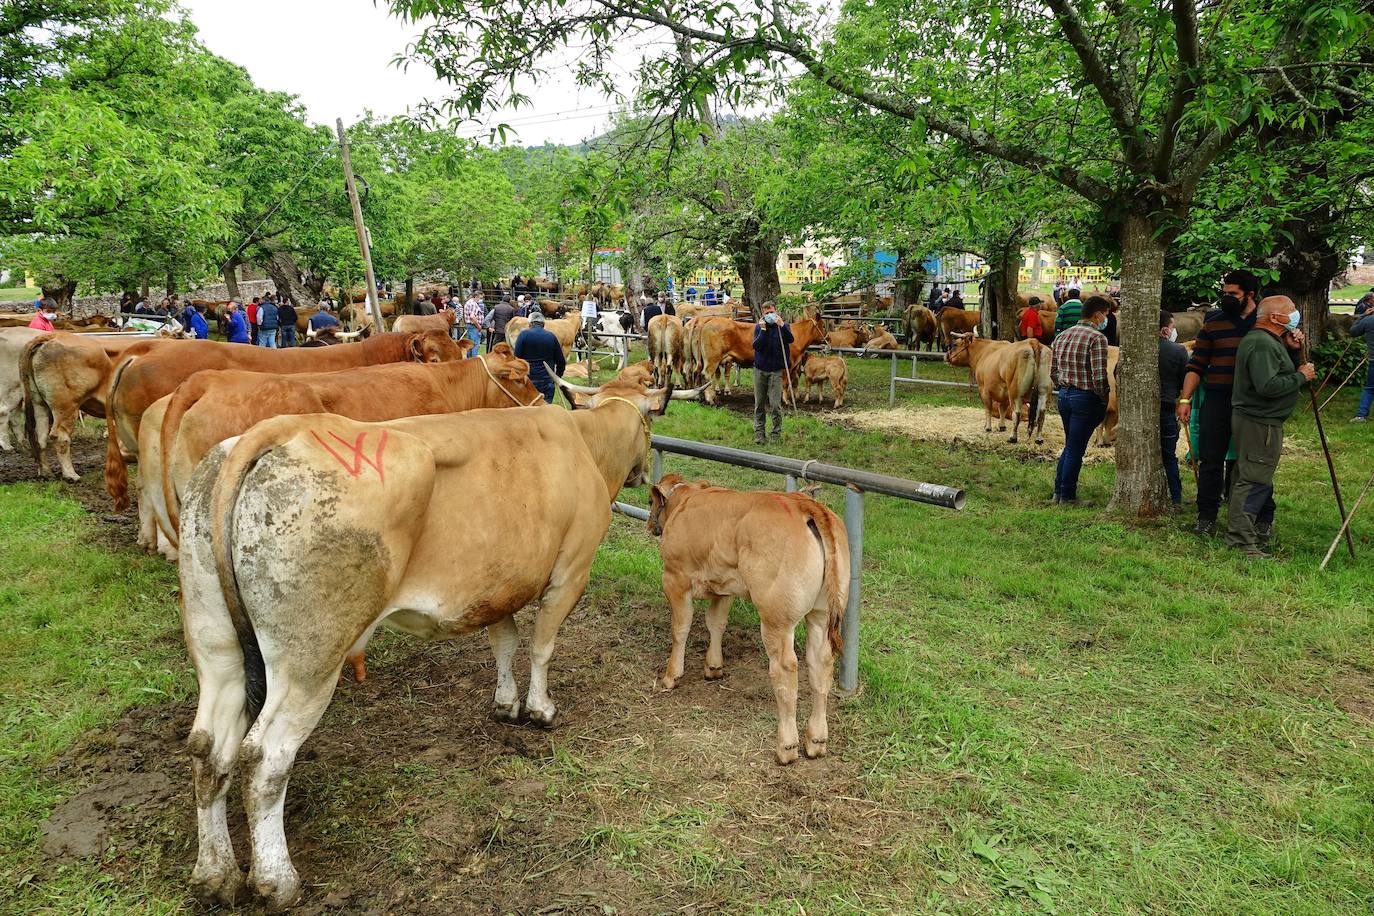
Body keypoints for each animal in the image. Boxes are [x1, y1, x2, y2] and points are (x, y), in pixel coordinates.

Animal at [175, 373, 697, 911]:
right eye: (649, 422)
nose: (642, 470)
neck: (583, 443)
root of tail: (279, 429)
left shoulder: (499, 585)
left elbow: (504, 643)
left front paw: (505, 703)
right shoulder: (570, 571)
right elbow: (542, 646)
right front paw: (540, 709)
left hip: (215, 641)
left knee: (208, 747)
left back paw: (215, 874)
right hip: (310, 657)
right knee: (264, 758)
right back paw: (277, 882)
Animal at [645, 472, 846, 769]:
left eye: (650, 501)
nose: (649, 525)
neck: (686, 502)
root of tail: (804, 503)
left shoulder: (675, 578)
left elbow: (680, 628)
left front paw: (671, 676)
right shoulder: (725, 586)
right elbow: (716, 623)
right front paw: (713, 667)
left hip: (776, 618)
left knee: (785, 669)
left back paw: (786, 746)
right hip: (821, 613)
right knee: (821, 662)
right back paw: (816, 740)